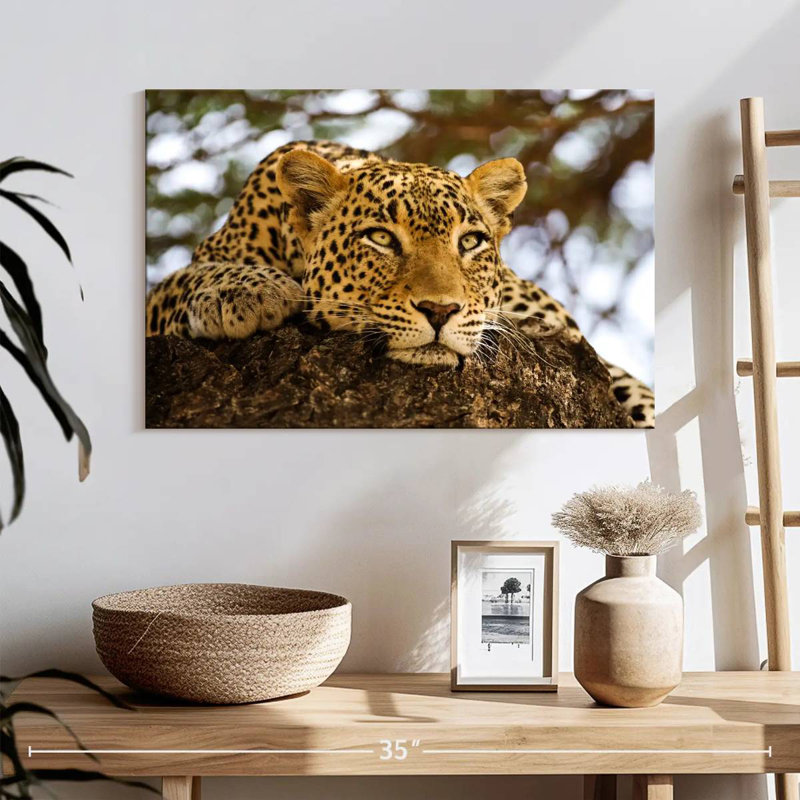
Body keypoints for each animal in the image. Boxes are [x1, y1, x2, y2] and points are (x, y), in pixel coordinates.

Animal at [146, 140, 654, 427]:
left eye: (470, 241)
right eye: (381, 238)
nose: (440, 311)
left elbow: (638, 392)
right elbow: (178, 280)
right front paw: (246, 291)